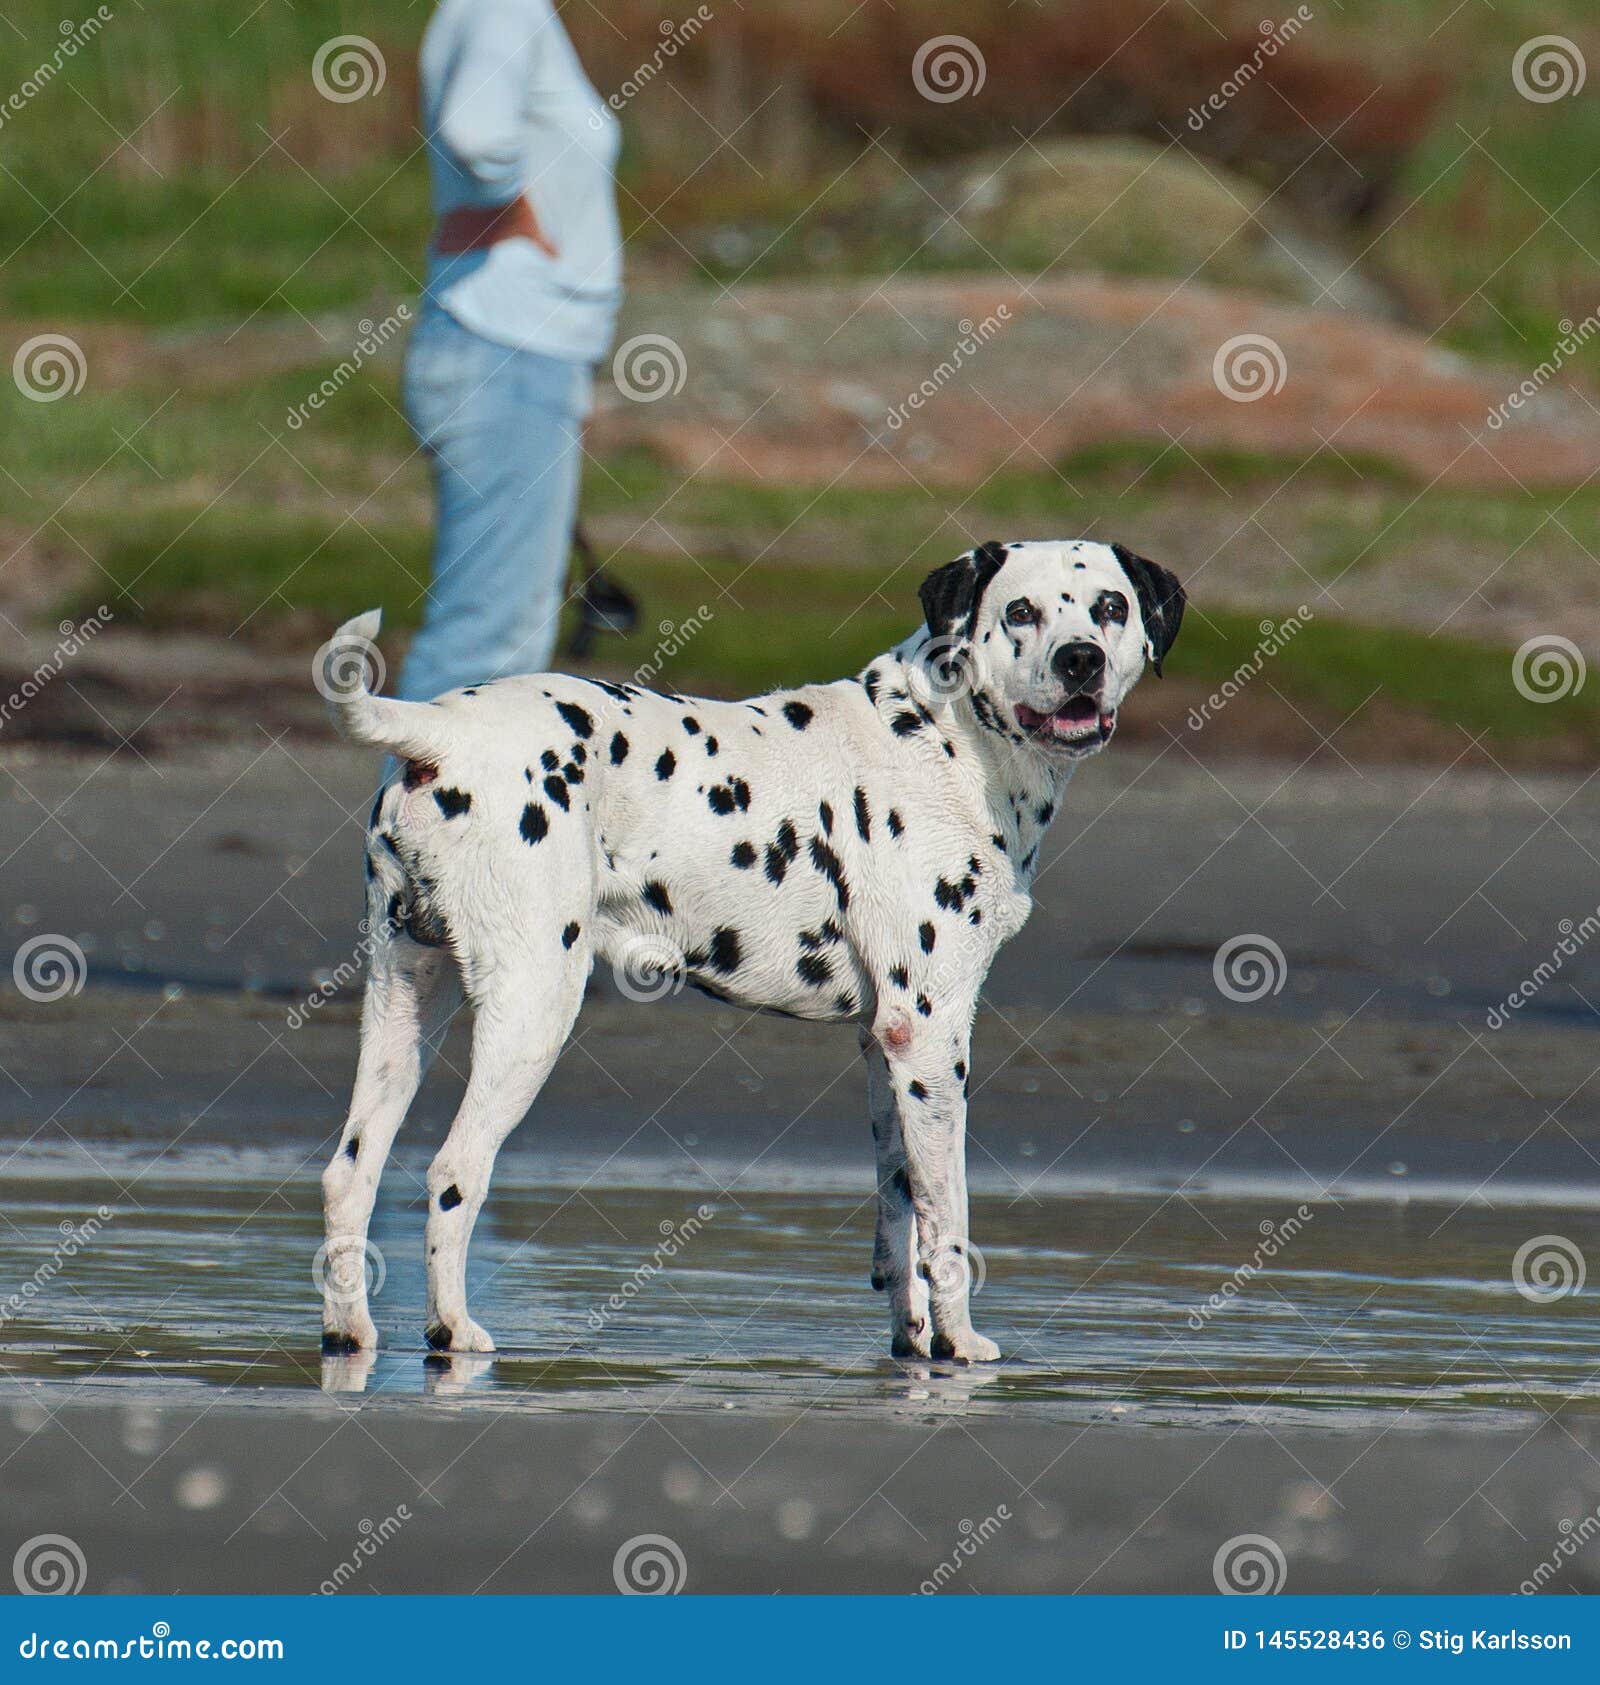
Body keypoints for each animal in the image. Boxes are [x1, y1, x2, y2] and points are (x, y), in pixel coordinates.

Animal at [320, 545, 1185, 1361]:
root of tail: (442, 731)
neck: (941, 739)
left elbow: (898, 1209)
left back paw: (348, 1329)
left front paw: (912, 1338)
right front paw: (958, 1340)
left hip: (402, 1009)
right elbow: (945, 1219)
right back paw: (452, 1328)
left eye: (1111, 606)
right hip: (531, 1012)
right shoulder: (934, 1039)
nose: (1081, 659)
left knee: (349, 1172)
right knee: (452, 1175)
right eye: (1021, 611)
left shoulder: (887, 1049)